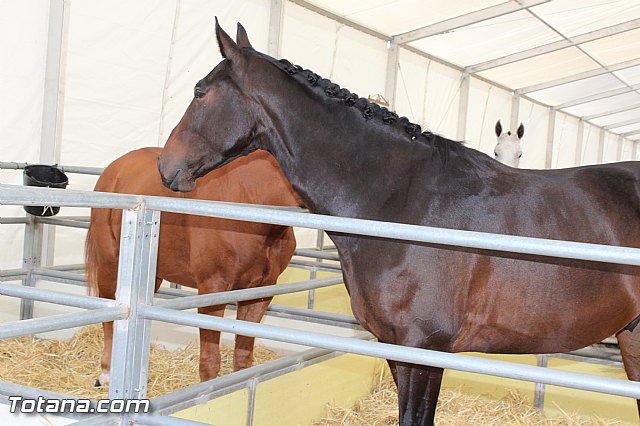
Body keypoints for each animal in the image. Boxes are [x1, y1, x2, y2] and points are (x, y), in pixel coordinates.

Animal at [86, 146, 302, 386]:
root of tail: (114, 168)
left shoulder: (260, 293)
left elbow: (243, 359)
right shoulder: (212, 290)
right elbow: (210, 362)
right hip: (109, 265)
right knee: (109, 314)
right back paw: (106, 373)